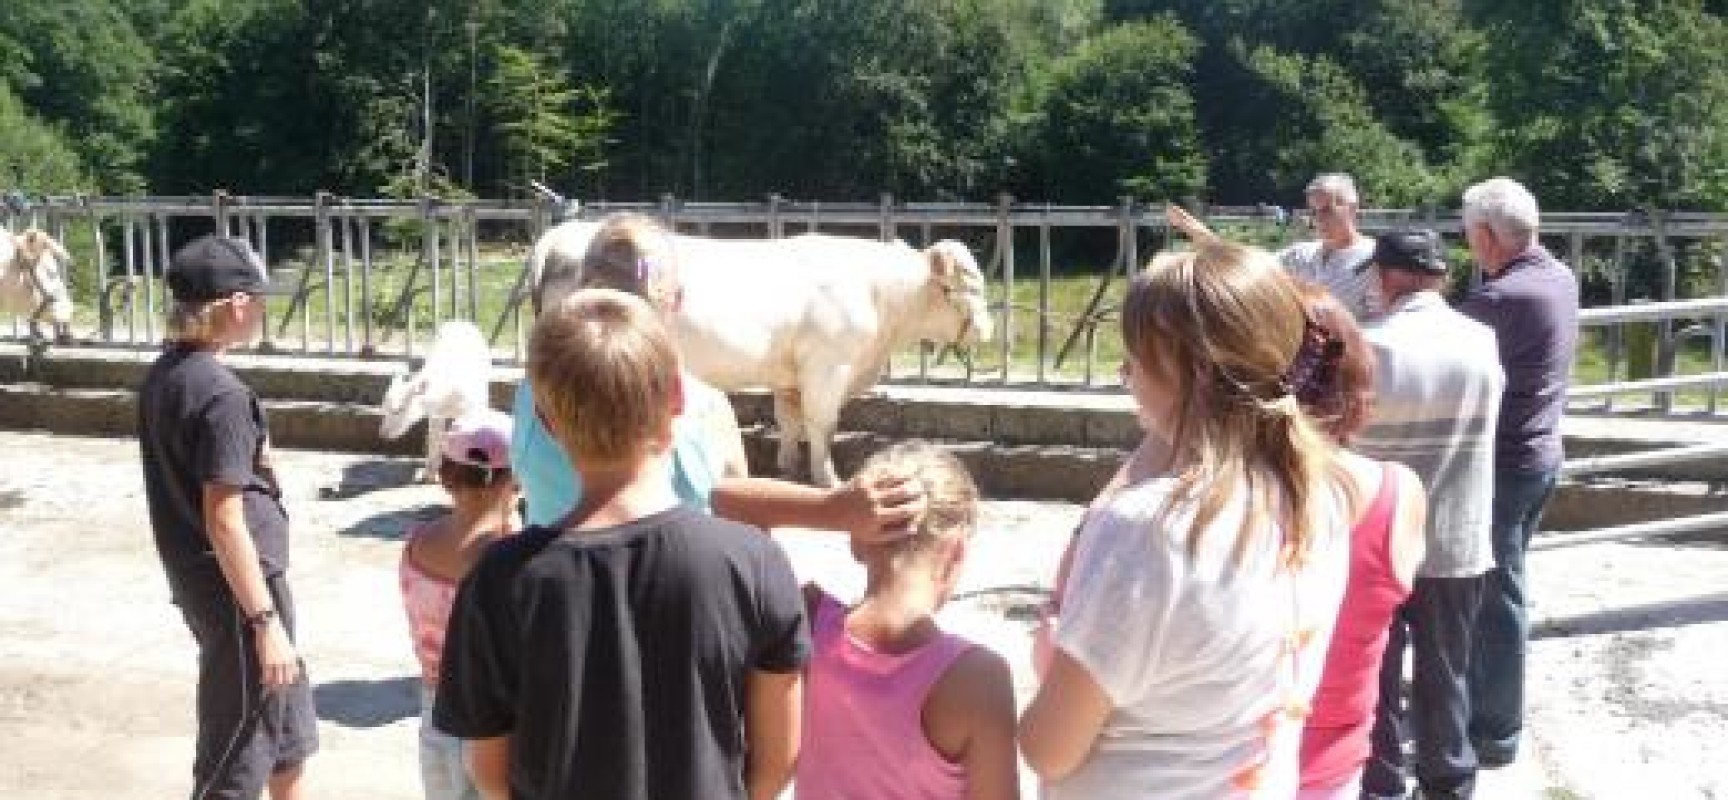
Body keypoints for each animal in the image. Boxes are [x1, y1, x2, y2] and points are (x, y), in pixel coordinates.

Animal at [376, 319, 487, 483]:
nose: (382, 434)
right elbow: (434, 438)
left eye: (399, 409)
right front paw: (430, 474)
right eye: (384, 409)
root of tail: (459, 321)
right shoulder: (435, 414)